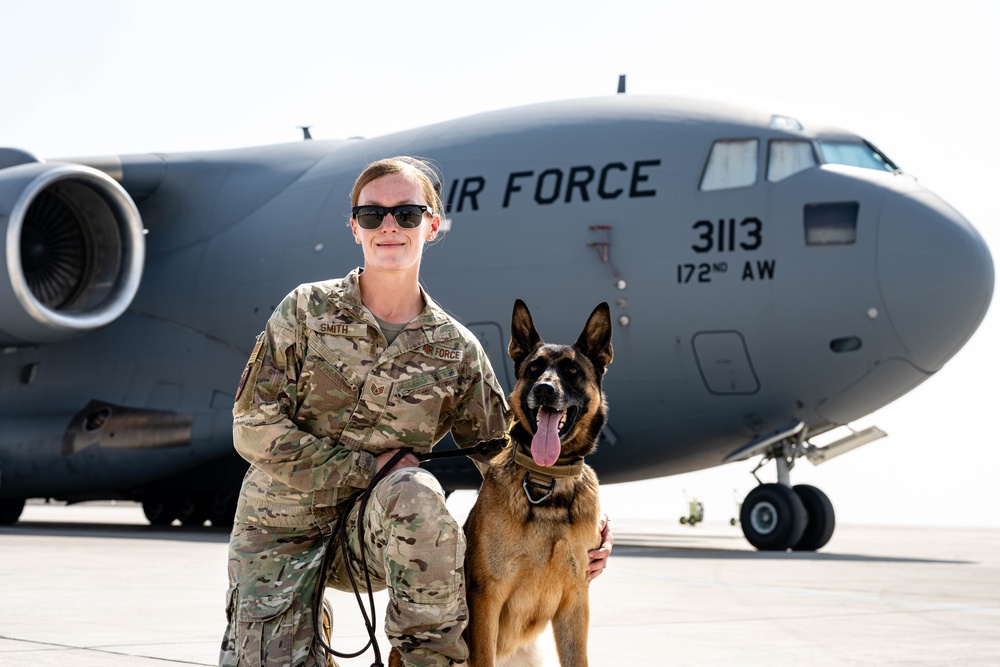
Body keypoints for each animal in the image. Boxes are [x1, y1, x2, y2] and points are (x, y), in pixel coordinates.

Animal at [464, 302, 612, 667]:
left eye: (572, 370)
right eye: (534, 368)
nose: (545, 389)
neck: (548, 482)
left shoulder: (575, 604)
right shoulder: (486, 597)